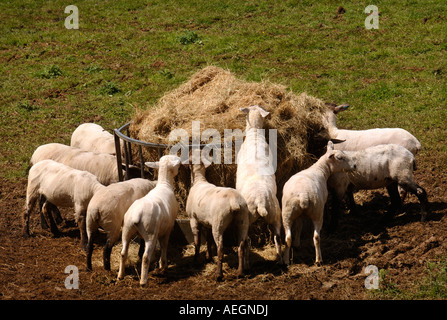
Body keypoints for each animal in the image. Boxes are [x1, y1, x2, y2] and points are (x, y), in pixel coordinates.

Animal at [119, 154, 184, 284]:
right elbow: (164, 245)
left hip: (127, 230)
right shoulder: (167, 229)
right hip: (150, 232)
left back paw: (120, 275)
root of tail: (136, 214)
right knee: (145, 257)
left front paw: (156, 261)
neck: (164, 183)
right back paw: (143, 281)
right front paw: (163, 265)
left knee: (123, 253)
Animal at [234, 105, 284, 262]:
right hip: (276, 214)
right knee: (278, 238)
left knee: (244, 243)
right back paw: (280, 260)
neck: (255, 133)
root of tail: (260, 201)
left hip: (245, 220)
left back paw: (245, 264)